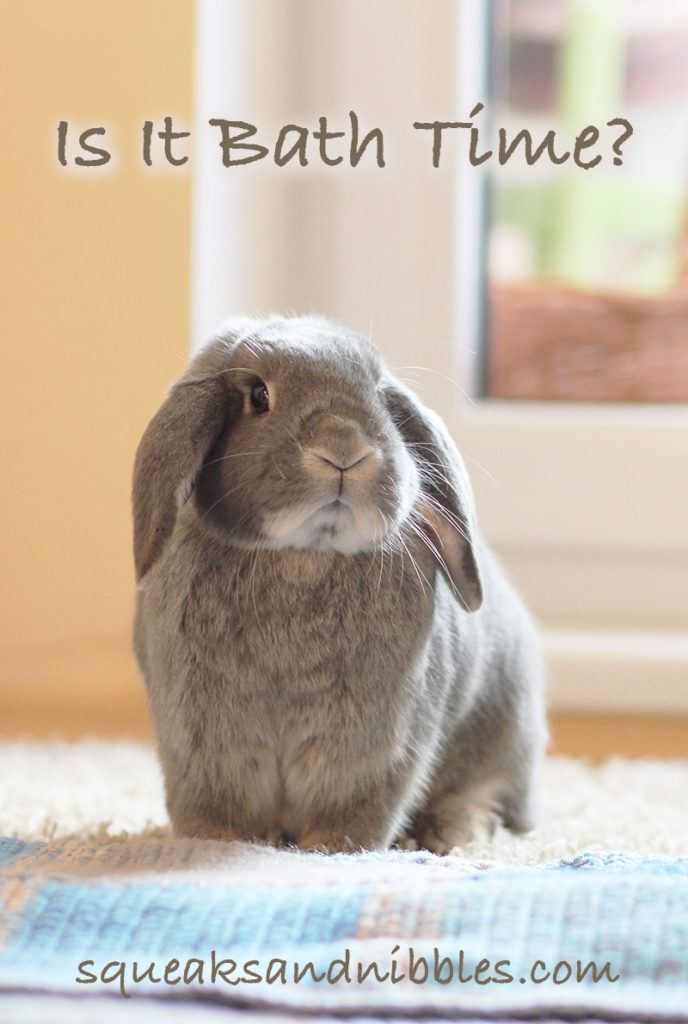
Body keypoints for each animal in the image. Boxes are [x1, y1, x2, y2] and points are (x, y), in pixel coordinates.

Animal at [132, 315, 544, 851]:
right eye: (259, 396)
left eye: (378, 395)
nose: (345, 450)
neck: (303, 555)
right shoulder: (200, 738)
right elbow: (213, 808)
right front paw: (213, 844)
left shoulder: (374, 743)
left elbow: (353, 810)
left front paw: (329, 853)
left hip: (503, 731)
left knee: (488, 794)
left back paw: (452, 833)